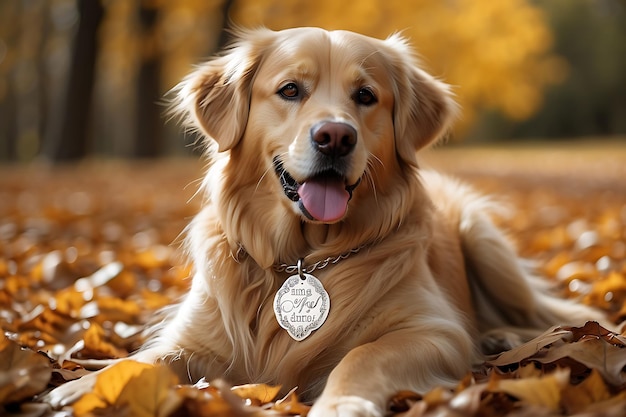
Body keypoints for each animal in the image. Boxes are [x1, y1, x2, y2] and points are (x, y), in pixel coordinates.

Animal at [45, 27, 604, 414]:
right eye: (291, 90)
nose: (335, 136)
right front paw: (81, 384)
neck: (300, 257)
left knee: (544, 313)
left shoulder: (435, 330)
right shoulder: (195, 339)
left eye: (366, 96)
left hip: (484, 244)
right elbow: (146, 359)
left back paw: (510, 337)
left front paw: (343, 403)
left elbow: (363, 357)